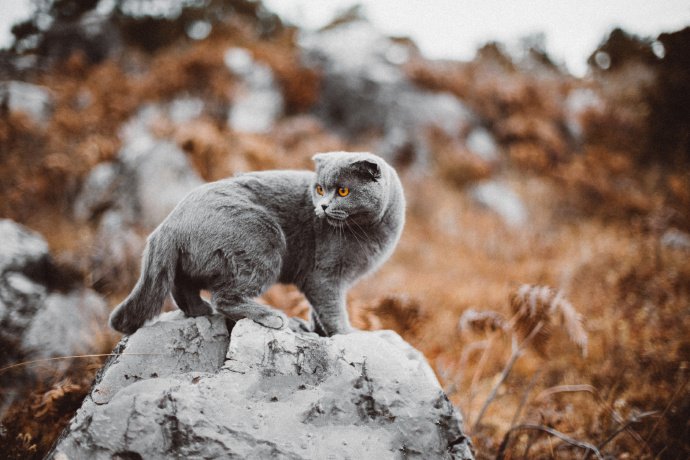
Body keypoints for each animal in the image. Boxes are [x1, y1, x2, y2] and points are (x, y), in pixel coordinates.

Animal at [109, 153, 404, 336]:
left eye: (343, 191)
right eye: (320, 189)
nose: (322, 206)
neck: (370, 232)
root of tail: (167, 224)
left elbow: (318, 311)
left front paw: (318, 330)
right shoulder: (324, 276)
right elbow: (332, 309)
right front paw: (346, 333)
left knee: (182, 285)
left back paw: (199, 310)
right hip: (264, 241)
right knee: (223, 297)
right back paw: (269, 316)